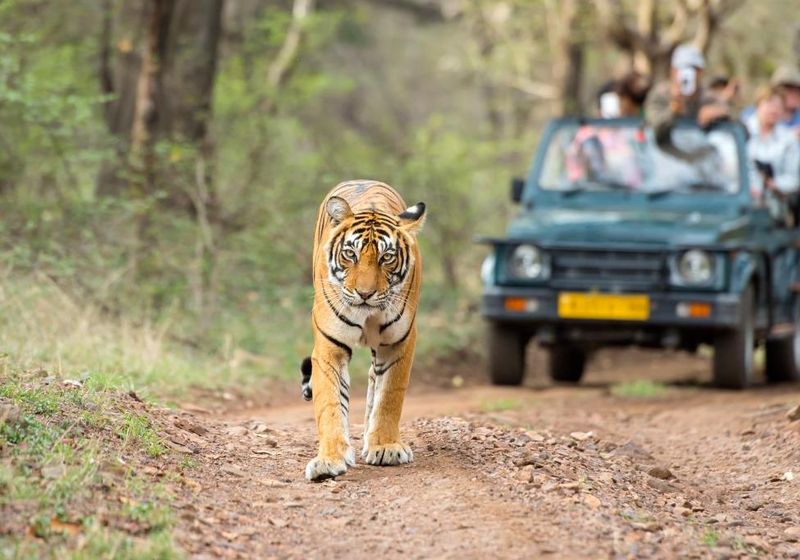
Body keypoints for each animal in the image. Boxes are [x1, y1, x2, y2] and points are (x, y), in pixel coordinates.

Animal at [301, 180, 426, 481]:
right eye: (350, 254)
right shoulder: (329, 347)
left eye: (387, 257)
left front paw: (385, 447)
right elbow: (330, 404)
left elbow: (389, 396)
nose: (365, 294)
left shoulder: (399, 343)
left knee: (373, 380)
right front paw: (329, 460)